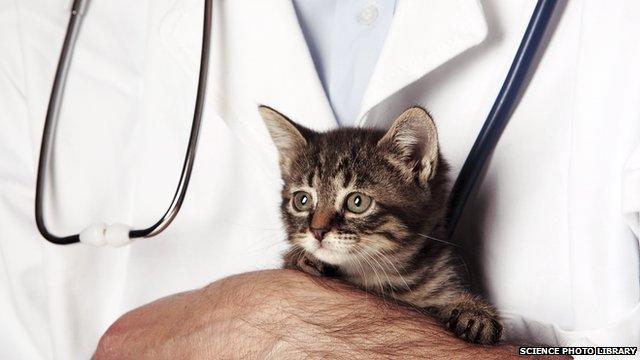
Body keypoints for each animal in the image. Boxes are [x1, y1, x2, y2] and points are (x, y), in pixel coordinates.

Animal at [258, 105, 502, 344]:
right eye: (302, 200)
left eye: (357, 202)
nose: (317, 231)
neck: (381, 273)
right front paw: (299, 257)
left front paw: (474, 311)